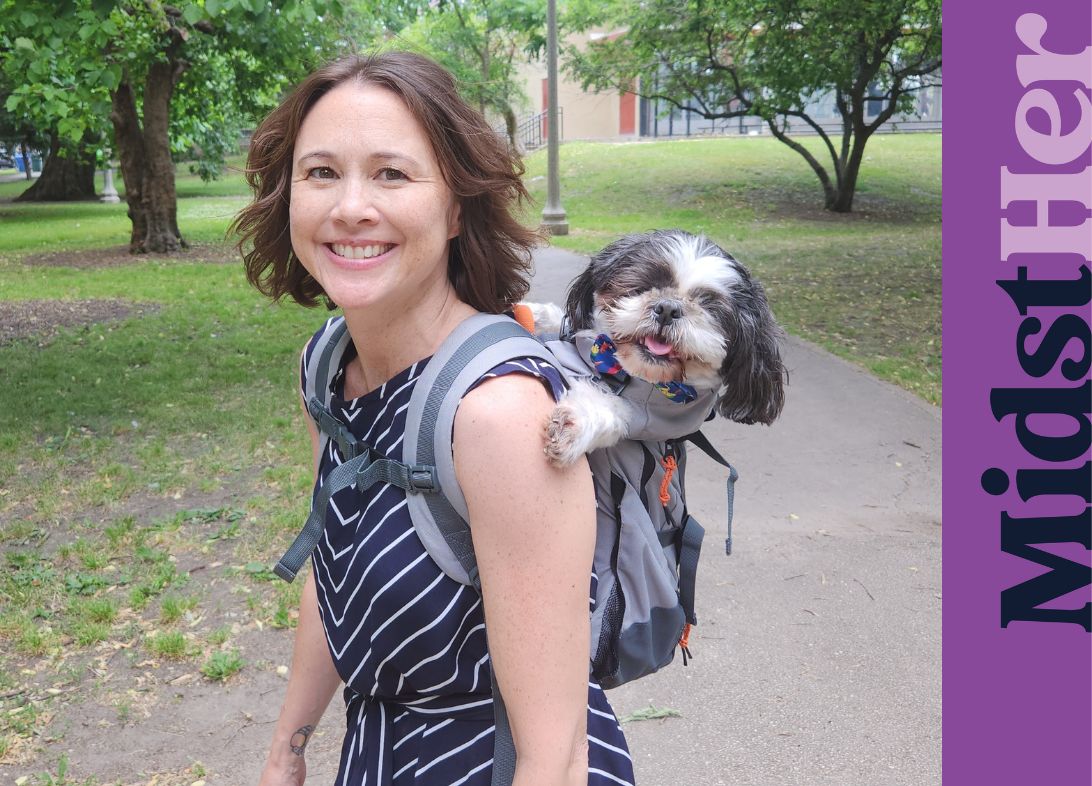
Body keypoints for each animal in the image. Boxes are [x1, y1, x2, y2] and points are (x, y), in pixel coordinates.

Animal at [535, 231, 786, 467]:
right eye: (643, 287)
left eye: (708, 306)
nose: (667, 308)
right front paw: (537, 315)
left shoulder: (649, 417)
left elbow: (616, 410)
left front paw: (574, 424)